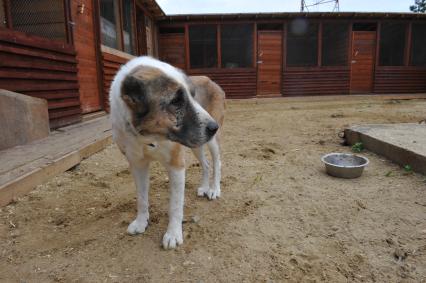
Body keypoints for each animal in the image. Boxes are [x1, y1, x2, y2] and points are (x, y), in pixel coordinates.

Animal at [109, 56, 226, 250]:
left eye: (193, 95)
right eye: (176, 101)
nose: (214, 127)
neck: (148, 136)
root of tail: (211, 80)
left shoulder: (176, 165)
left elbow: (175, 205)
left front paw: (173, 234)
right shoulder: (137, 164)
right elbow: (141, 198)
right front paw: (141, 222)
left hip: (210, 142)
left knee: (216, 162)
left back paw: (214, 189)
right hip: (195, 143)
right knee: (206, 164)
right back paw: (204, 187)